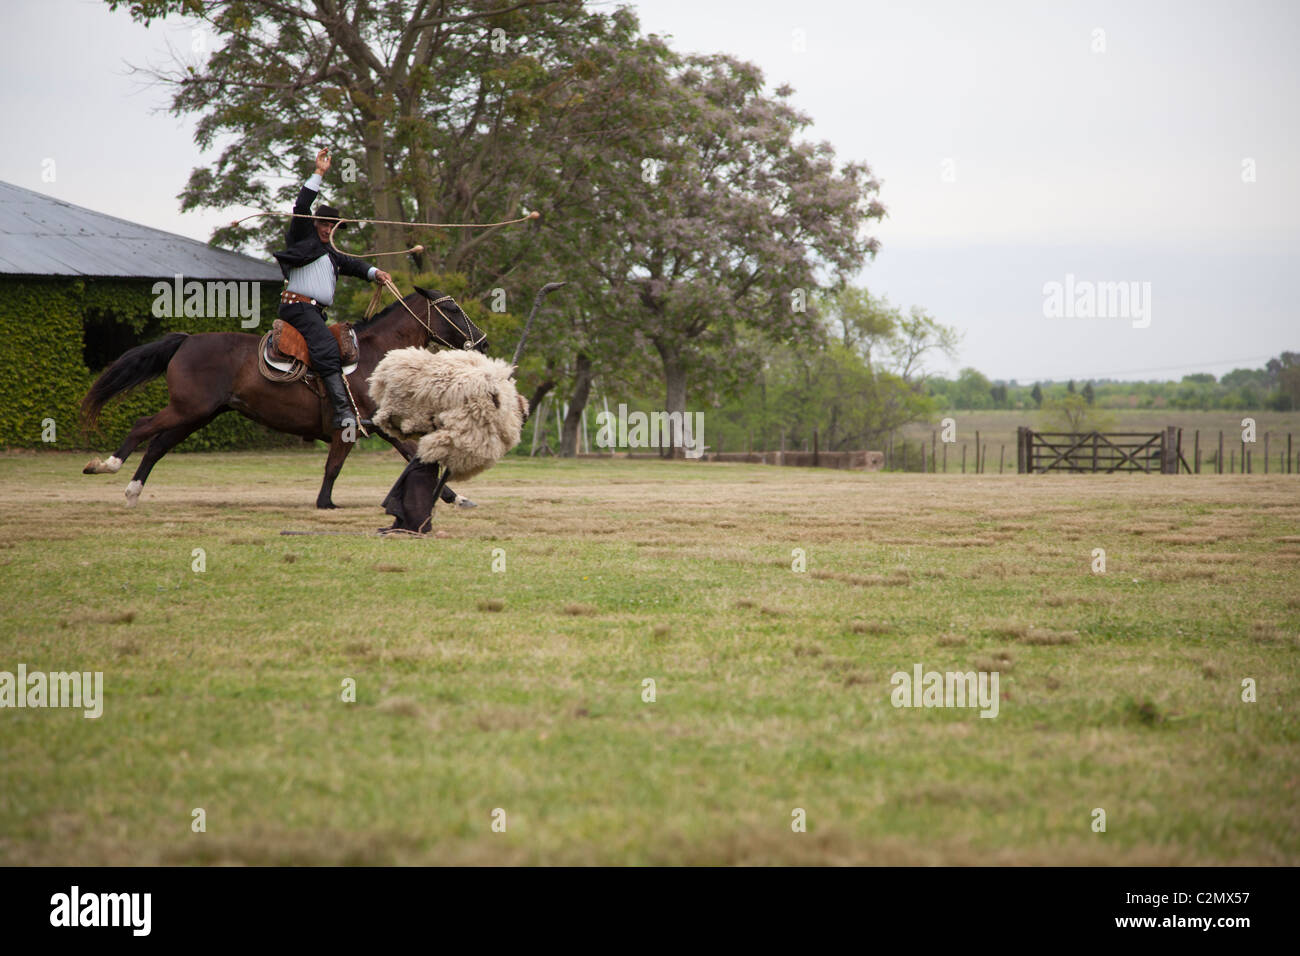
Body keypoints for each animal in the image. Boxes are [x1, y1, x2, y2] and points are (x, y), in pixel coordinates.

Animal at [82, 286, 488, 509]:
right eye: (451, 308)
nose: (481, 340)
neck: (374, 357)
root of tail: (186, 340)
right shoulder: (347, 428)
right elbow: (333, 468)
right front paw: (325, 504)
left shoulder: (382, 427)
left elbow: (417, 456)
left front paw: (456, 498)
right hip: (188, 409)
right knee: (142, 426)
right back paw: (107, 465)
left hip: (198, 414)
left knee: (157, 446)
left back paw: (133, 492)